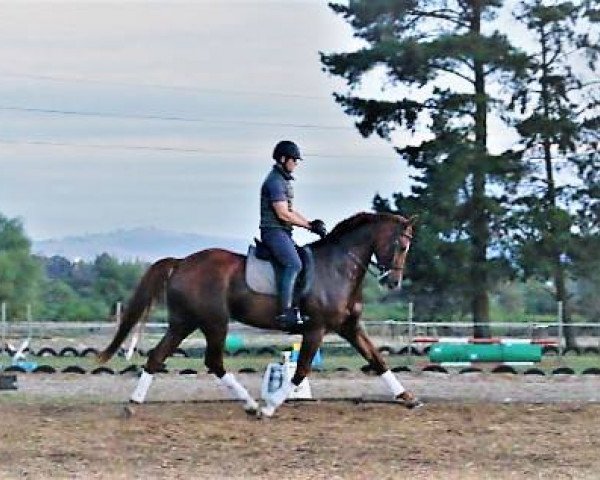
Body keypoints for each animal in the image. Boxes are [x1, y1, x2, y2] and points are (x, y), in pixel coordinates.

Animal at [98, 212, 420, 418]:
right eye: (402, 245)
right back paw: (252, 405)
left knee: (158, 357)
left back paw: (133, 403)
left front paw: (408, 398)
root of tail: (181, 263)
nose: (393, 282)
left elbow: (377, 360)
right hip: (214, 322)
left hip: (184, 323)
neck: (339, 268)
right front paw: (270, 407)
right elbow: (301, 370)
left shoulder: (350, 328)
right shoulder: (315, 329)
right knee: (213, 362)